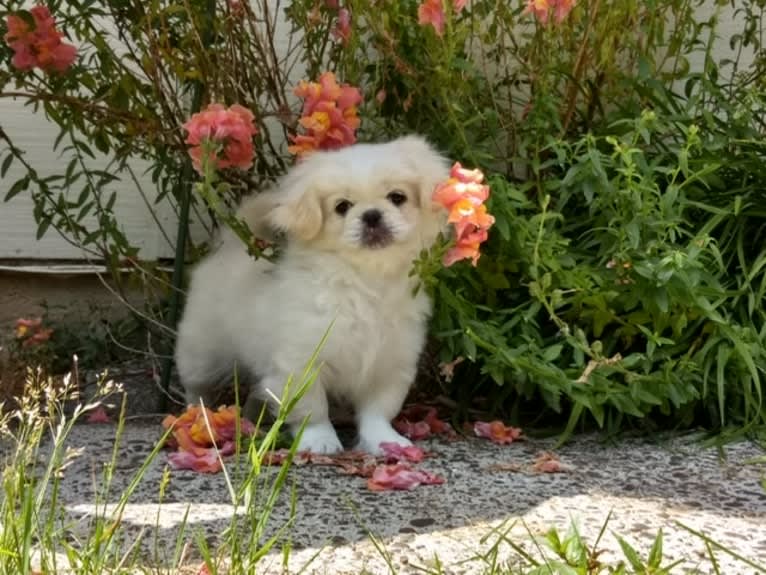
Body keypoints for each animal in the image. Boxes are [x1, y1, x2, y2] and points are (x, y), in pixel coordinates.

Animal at [174, 135, 450, 454]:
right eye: (342, 206)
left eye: (397, 197)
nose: (371, 215)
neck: (364, 283)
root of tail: (230, 246)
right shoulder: (301, 363)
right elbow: (312, 409)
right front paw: (320, 441)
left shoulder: (390, 365)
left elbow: (377, 412)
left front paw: (385, 441)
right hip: (201, 352)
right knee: (197, 387)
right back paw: (197, 416)